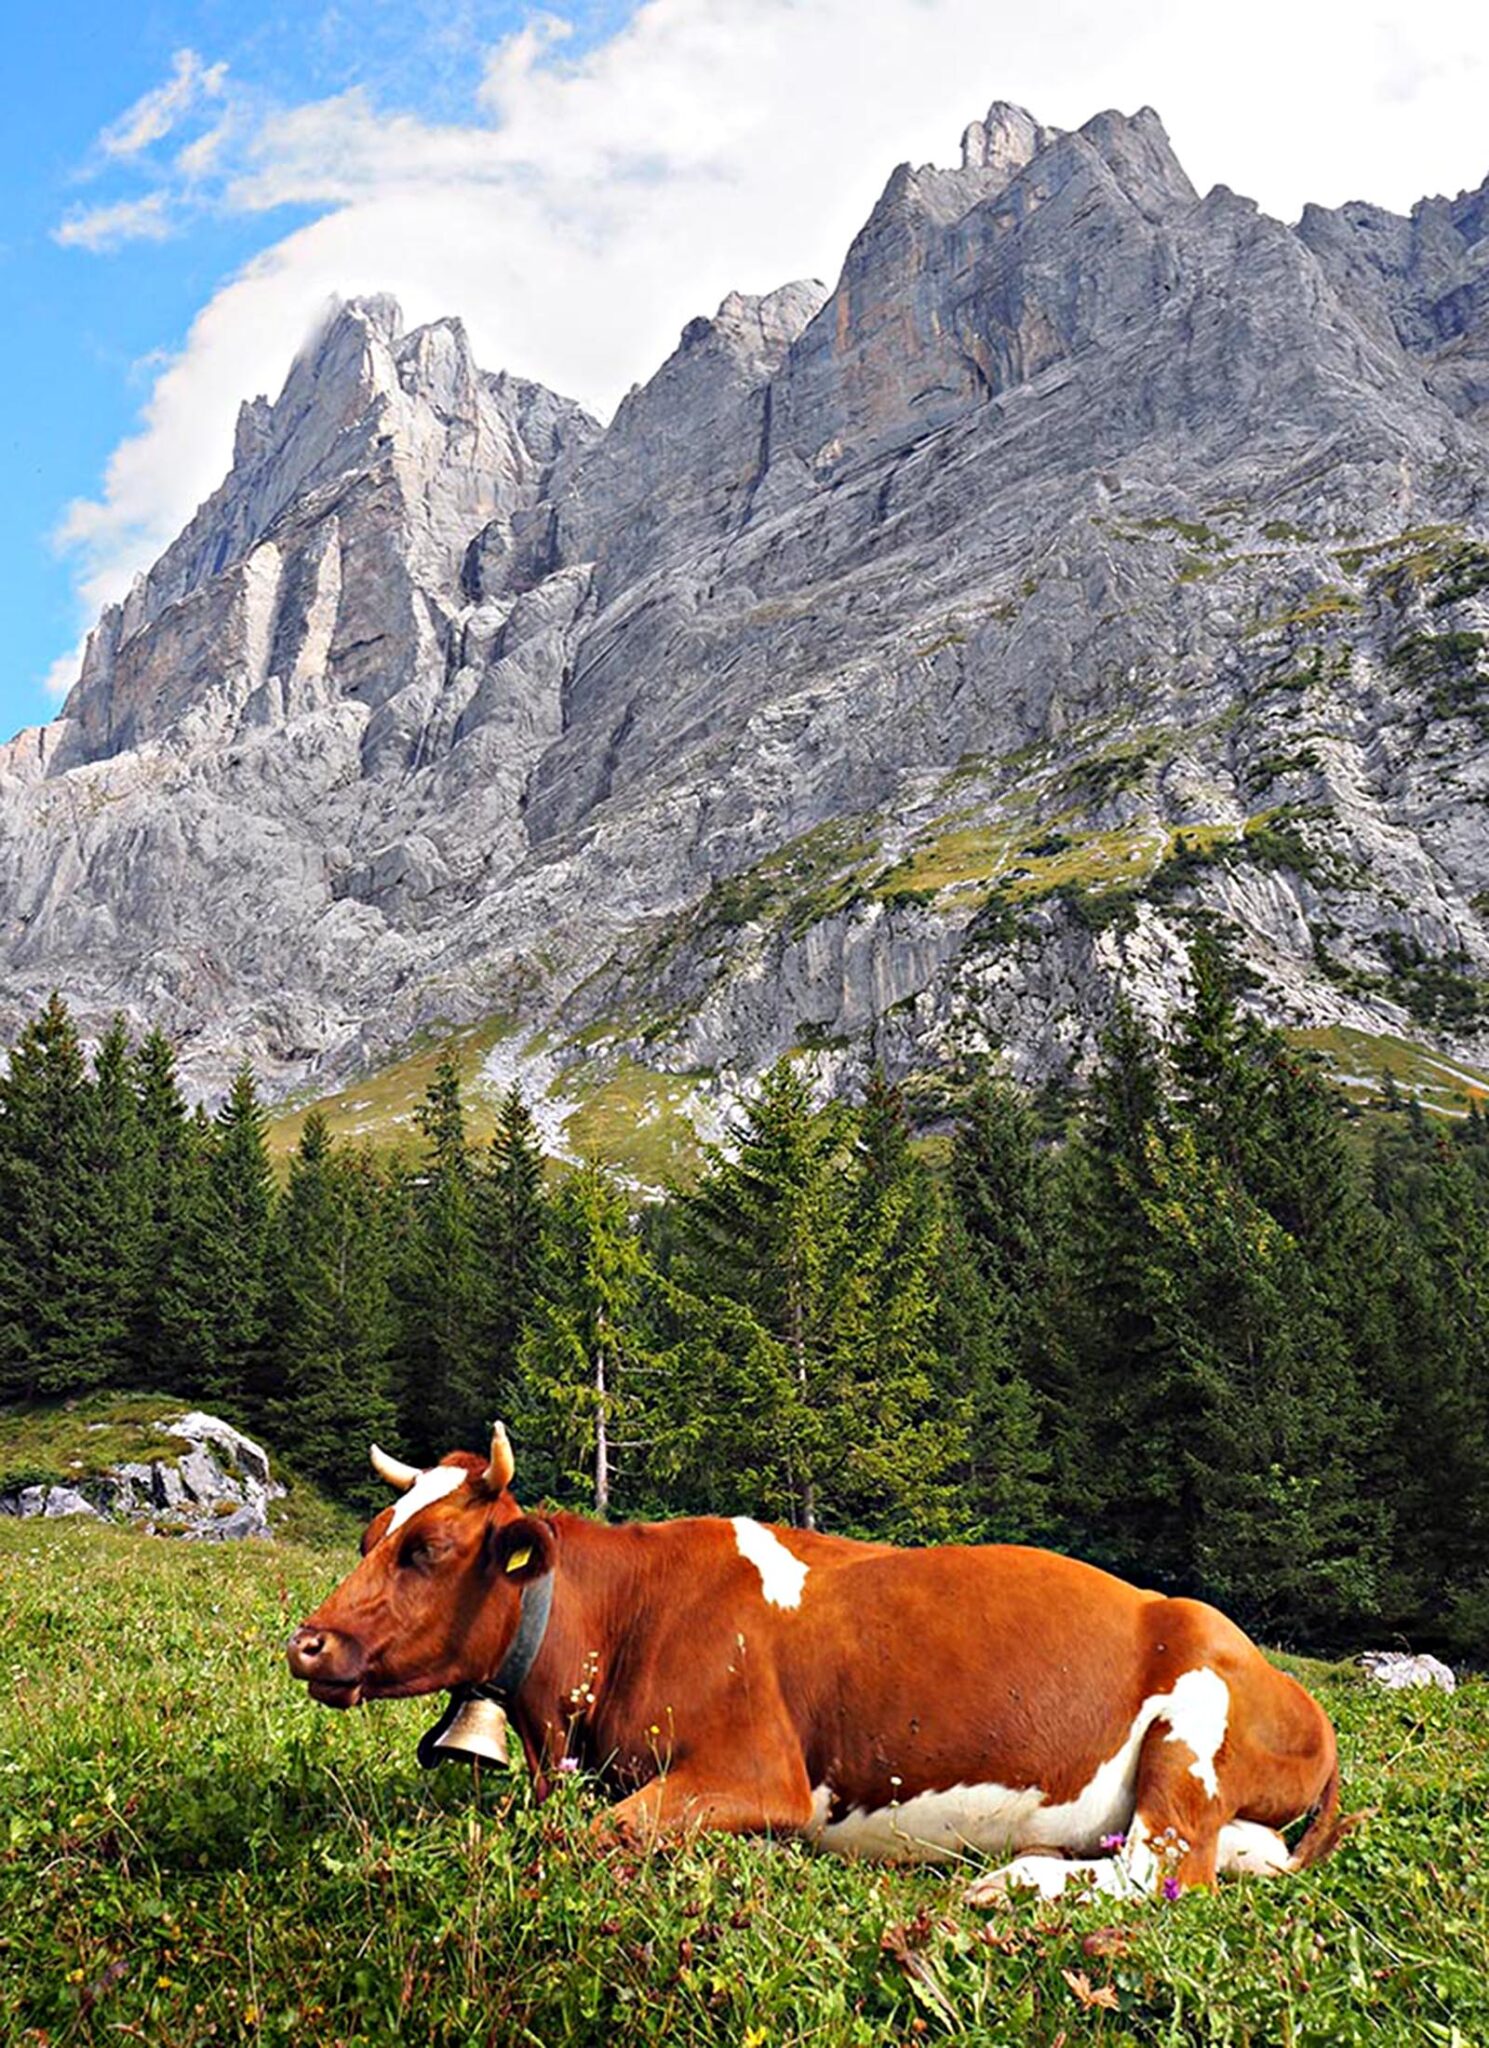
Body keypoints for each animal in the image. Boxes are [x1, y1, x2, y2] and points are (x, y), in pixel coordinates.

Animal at [286, 1425, 1356, 1899]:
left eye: (427, 1549)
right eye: (374, 1532)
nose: (308, 1641)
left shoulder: (759, 1772)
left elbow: (598, 1836)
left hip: (1190, 1729)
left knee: (1165, 1871)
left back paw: (1009, 1883)